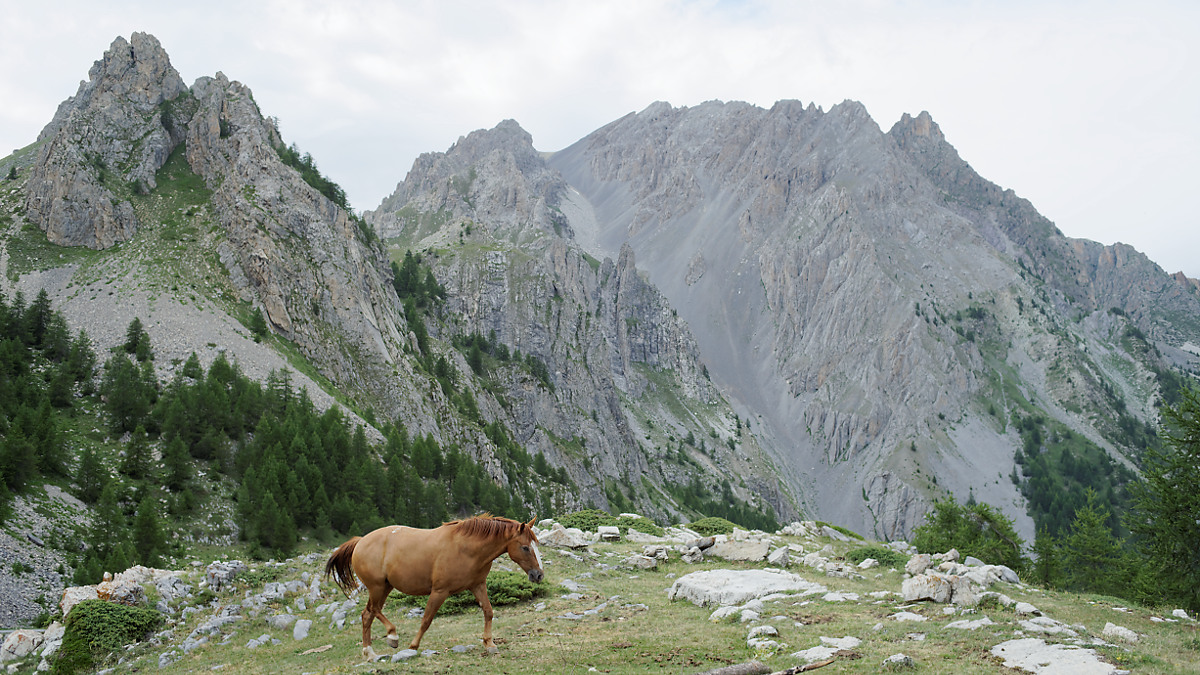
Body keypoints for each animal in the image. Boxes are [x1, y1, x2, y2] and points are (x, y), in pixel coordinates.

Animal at [324, 514, 540, 658]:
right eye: (525, 547)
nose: (538, 574)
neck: (466, 548)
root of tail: (360, 541)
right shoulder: (439, 591)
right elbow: (426, 620)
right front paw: (412, 647)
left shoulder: (477, 585)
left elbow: (488, 612)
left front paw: (489, 644)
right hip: (377, 587)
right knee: (374, 610)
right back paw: (392, 636)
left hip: (385, 587)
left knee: (367, 614)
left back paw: (369, 653)